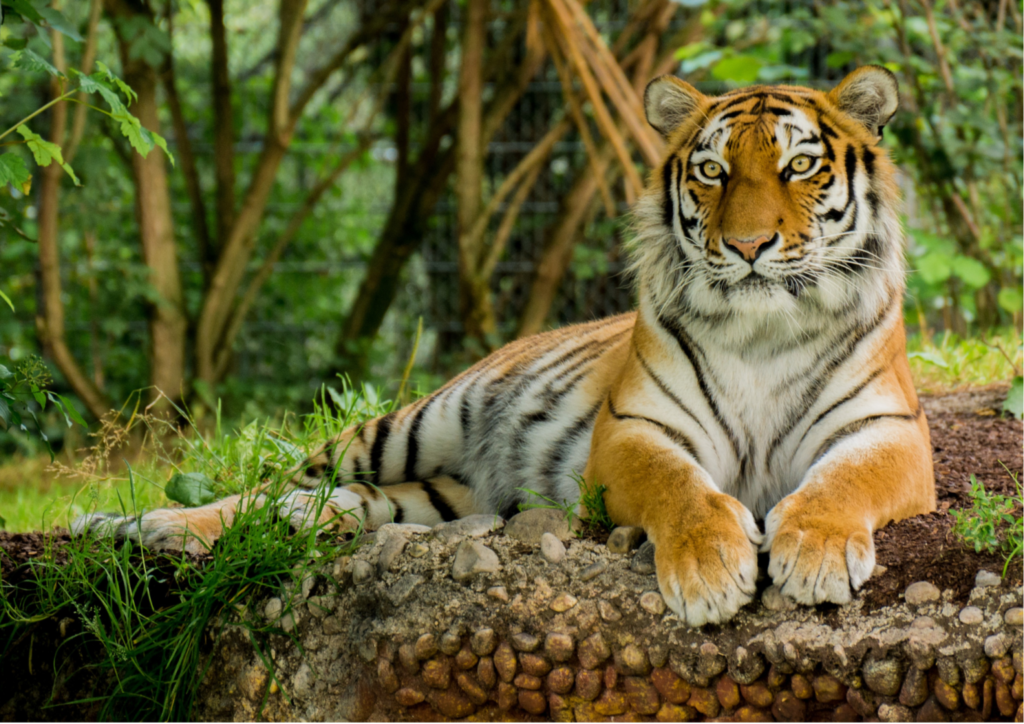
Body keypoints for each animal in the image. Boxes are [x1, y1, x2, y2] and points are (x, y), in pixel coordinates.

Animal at [74, 65, 937, 626]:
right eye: (713, 173)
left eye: (799, 166)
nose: (749, 245)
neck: (762, 329)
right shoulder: (633, 432)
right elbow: (682, 490)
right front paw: (711, 571)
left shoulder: (886, 433)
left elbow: (840, 485)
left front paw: (815, 553)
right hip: (404, 426)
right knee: (265, 488)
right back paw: (141, 526)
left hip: (435, 495)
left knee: (328, 504)